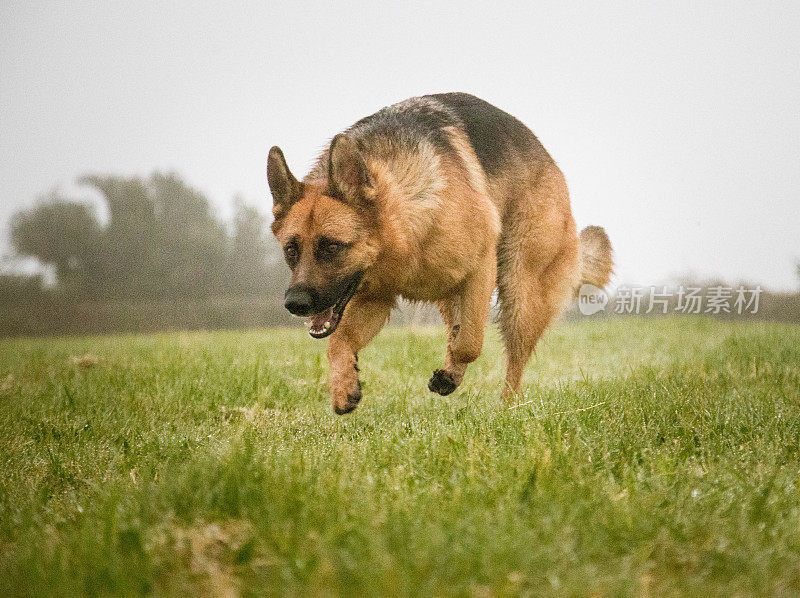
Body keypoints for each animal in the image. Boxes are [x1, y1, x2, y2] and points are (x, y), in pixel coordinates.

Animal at [268, 94, 612, 414]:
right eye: (291, 249)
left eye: (332, 247)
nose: (295, 304)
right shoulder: (375, 299)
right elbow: (338, 342)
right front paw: (343, 387)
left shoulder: (480, 270)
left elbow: (470, 343)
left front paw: (450, 374)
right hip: (454, 293)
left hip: (521, 292)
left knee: (512, 359)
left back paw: (505, 408)